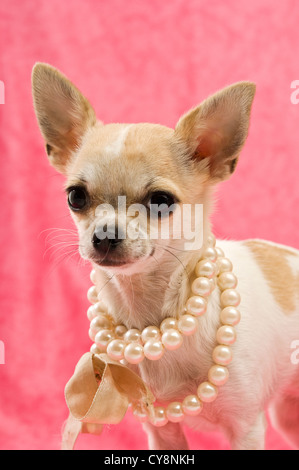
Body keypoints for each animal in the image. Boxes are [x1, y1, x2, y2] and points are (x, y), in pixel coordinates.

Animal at [31, 64, 299, 450]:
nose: (104, 235)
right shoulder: (161, 430)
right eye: (76, 197)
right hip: (288, 414)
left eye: (161, 201)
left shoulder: (246, 428)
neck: (152, 313)